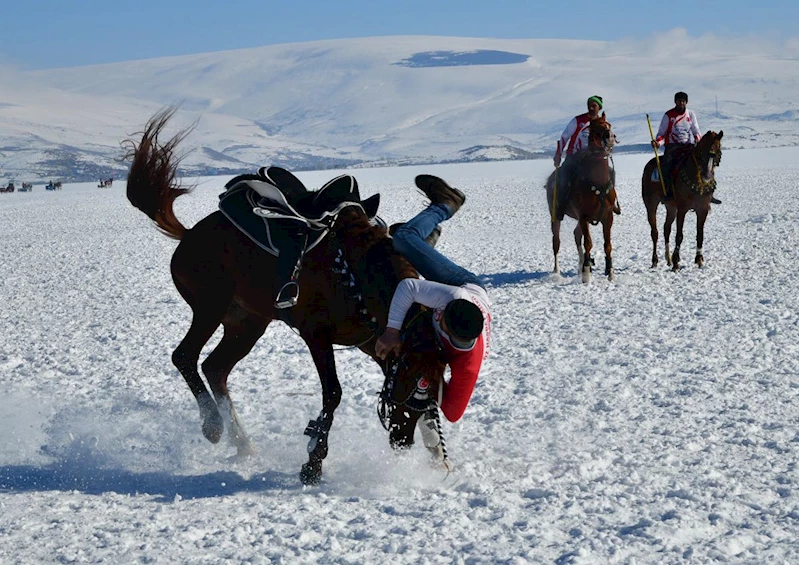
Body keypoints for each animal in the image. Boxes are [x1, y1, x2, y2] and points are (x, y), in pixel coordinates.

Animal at [127, 110, 446, 484]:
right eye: (411, 388)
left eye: (434, 394)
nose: (402, 441)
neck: (356, 271)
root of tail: (189, 234)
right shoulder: (316, 335)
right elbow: (333, 393)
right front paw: (313, 463)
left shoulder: (374, 340)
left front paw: (437, 452)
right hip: (210, 305)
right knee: (185, 356)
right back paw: (213, 426)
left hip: (248, 321)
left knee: (214, 366)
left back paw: (243, 443)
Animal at [544, 112, 620, 282]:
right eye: (595, 127)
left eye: (609, 124)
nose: (610, 137)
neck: (598, 182)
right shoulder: (584, 216)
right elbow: (588, 243)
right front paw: (586, 275)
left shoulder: (608, 216)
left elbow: (607, 244)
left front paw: (610, 272)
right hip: (556, 215)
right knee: (556, 241)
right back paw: (558, 271)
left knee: (576, 235)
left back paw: (579, 267)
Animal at [644, 131, 724, 270]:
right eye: (702, 152)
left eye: (718, 151)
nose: (707, 176)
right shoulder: (682, 209)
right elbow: (679, 235)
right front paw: (676, 262)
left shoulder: (702, 209)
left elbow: (700, 234)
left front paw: (699, 259)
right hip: (651, 204)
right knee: (654, 232)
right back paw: (655, 260)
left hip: (671, 207)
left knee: (666, 228)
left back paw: (668, 259)